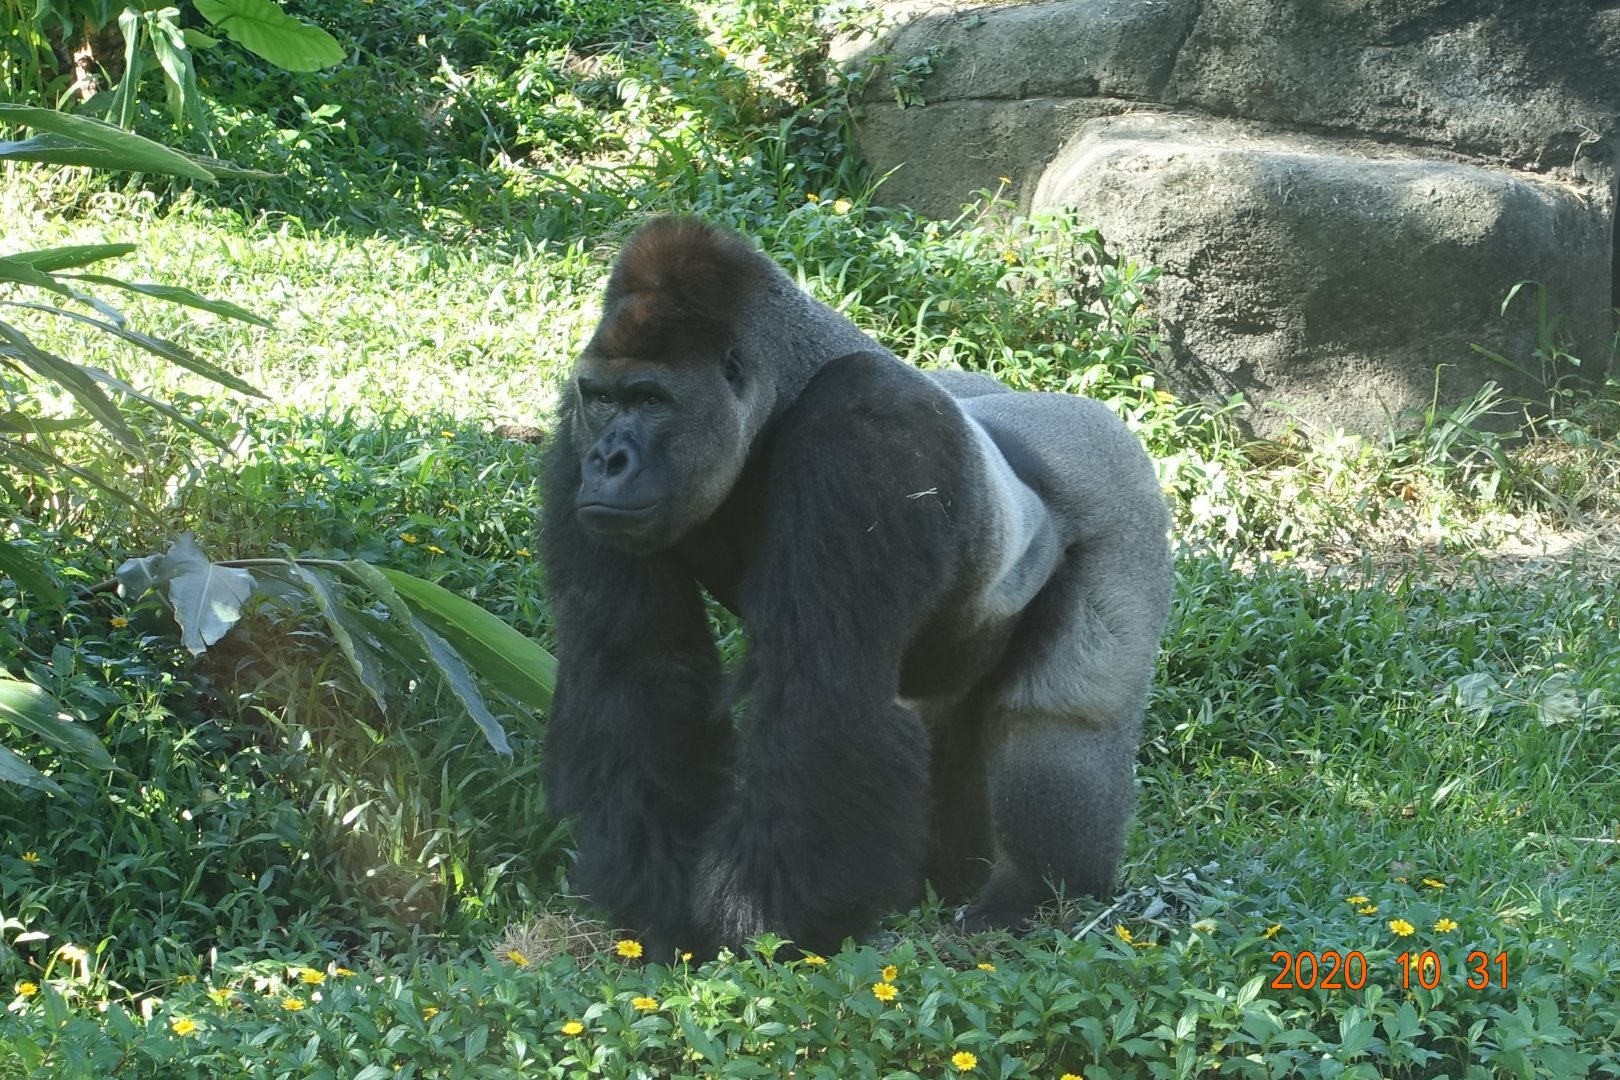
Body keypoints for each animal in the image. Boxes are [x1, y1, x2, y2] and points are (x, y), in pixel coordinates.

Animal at [540, 216, 1172, 958]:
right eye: (603, 398)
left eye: (650, 399)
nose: (608, 461)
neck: (784, 393)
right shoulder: (572, 435)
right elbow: (640, 671)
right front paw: (658, 896)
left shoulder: (866, 429)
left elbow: (821, 693)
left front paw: (762, 918)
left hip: (1121, 486)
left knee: (1063, 715)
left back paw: (1036, 898)